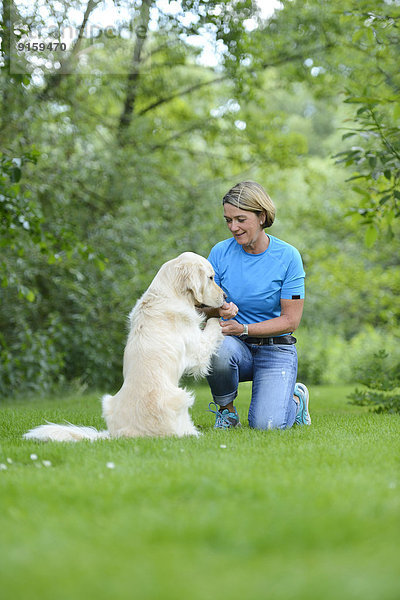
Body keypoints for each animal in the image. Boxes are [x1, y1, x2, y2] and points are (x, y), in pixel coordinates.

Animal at [24, 251, 225, 442]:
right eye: (210, 277)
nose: (225, 296)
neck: (170, 294)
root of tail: (118, 435)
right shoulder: (198, 349)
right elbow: (212, 327)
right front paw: (222, 317)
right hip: (182, 398)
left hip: (108, 402)